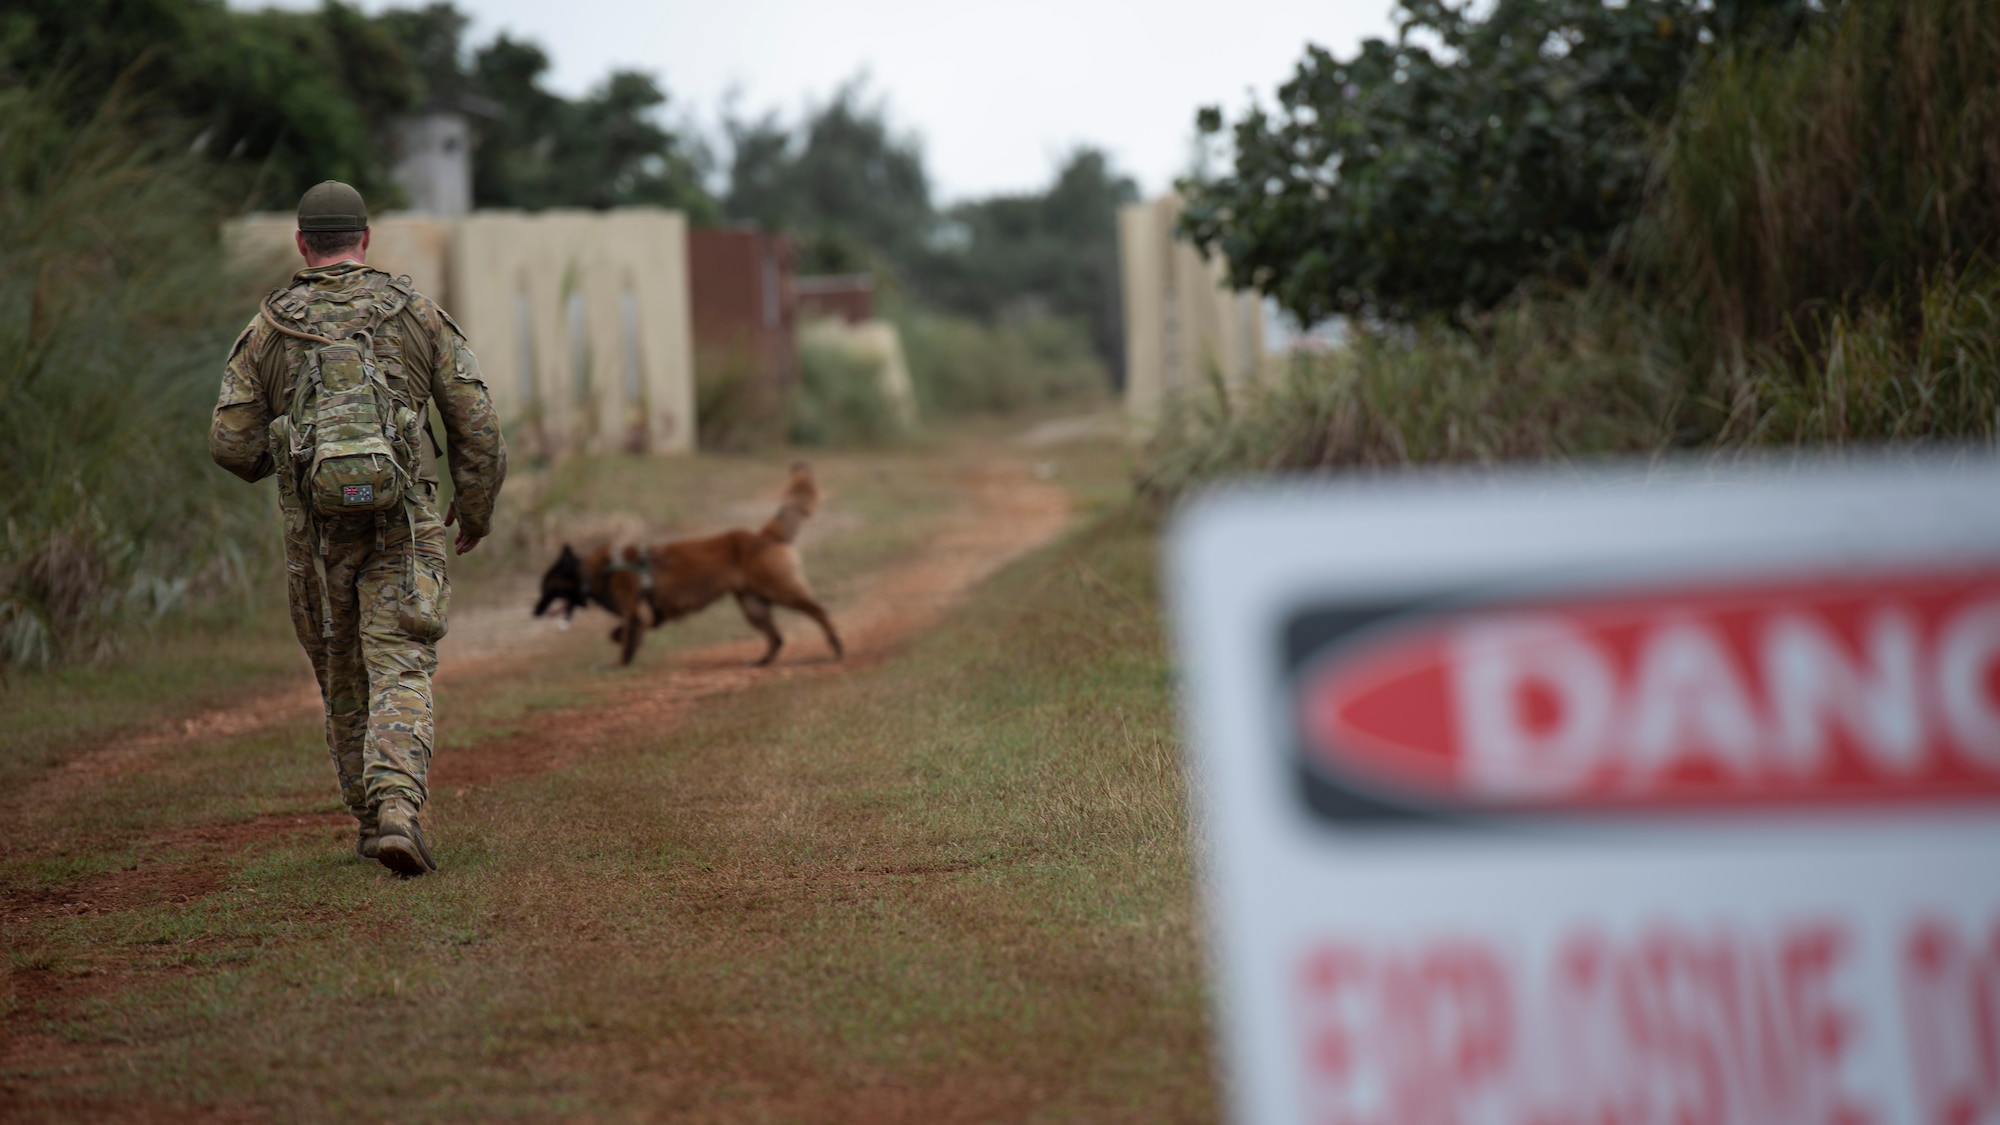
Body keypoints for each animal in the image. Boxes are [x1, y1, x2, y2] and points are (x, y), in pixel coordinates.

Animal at [532, 460, 844, 660]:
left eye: (547, 587)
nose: (534, 612)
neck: (598, 571)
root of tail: (765, 535)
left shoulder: (636, 612)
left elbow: (625, 644)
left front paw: (619, 665)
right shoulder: (640, 616)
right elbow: (620, 634)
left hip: (780, 590)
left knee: (819, 611)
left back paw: (836, 644)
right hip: (753, 604)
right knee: (777, 637)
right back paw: (763, 660)